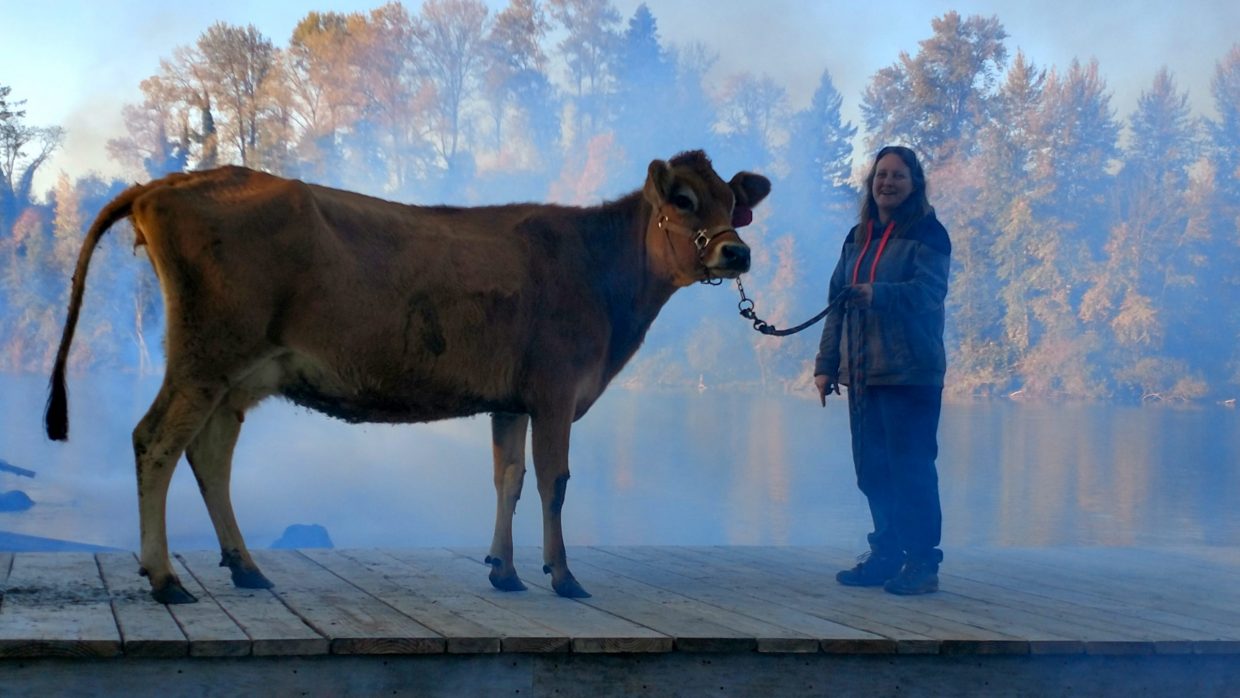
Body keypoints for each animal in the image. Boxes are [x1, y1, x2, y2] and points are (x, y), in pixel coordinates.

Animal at [45, 150, 763, 602]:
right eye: (683, 199)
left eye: (734, 202)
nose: (737, 252)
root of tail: (159, 187)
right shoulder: (557, 390)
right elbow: (554, 483)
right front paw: (563, 578)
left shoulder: (512, 399)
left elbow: (508, 478)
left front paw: (503, 571)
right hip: (206, 353)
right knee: (156, 440)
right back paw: (166, 579)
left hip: (238, 372)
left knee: (210, 454)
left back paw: (245, 568)